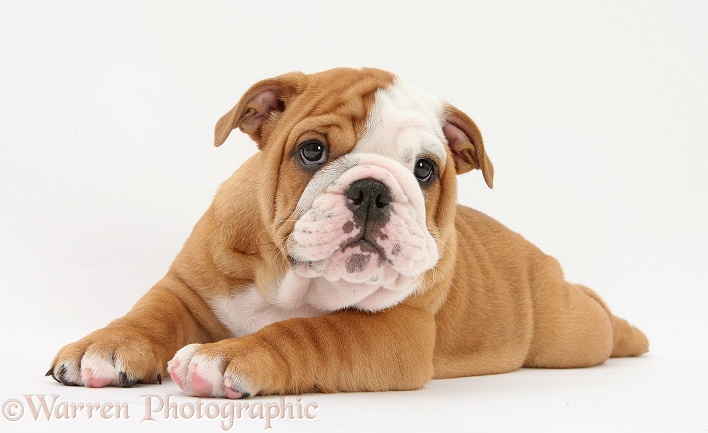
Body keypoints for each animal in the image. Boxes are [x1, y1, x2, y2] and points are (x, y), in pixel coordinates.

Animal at [47, 66, 648, 394]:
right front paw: (104, 348)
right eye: (312, 151)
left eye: (424, 169)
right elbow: (148, 315)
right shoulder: (189, 289)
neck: (289, 281)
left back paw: (629, 332)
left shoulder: (394, 330)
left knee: (594, 321)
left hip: (568, 333)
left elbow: (309, 333)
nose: (373, 190)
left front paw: (226, 358)